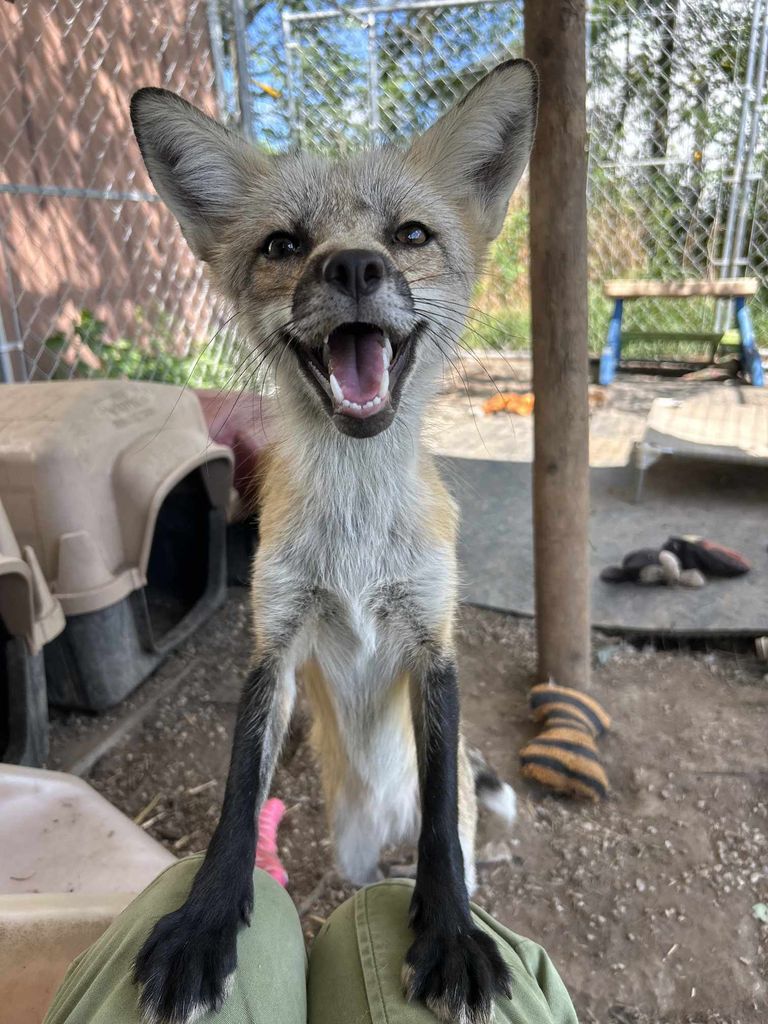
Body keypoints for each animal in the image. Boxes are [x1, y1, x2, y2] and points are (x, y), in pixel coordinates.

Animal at [129, 58, 538, 1024]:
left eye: (412, 235)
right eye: (284, 244)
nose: (354, 265)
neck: (356, 536)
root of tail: (378, 821)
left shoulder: (434, 642)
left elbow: (441, 825)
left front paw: (451, 931)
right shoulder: (273, 643)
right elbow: (238, 799)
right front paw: (207, 922)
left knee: (439, 833)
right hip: (350, 846)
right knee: (360, 882)